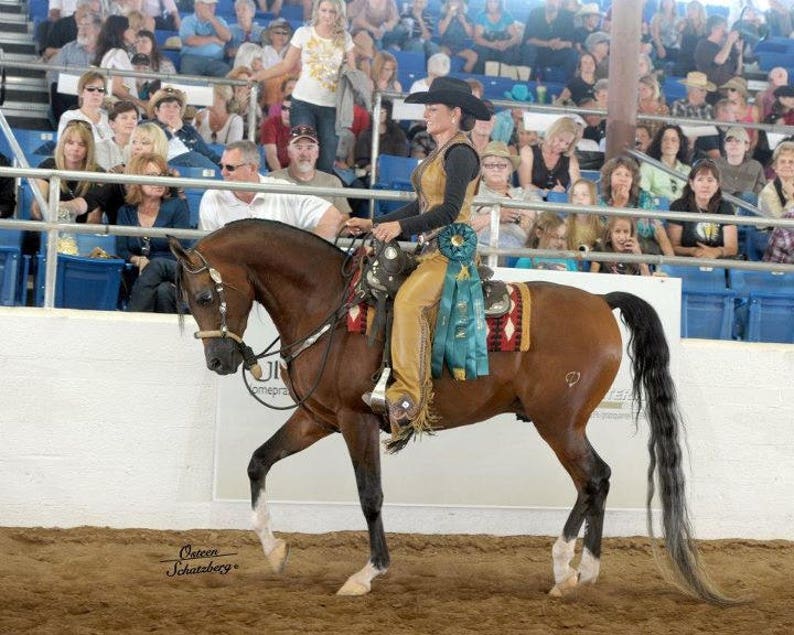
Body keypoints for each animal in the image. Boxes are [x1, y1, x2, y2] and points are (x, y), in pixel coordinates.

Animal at [168, 219, 731, 605]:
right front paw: (273, 550)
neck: (328, 304)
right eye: (188, 300)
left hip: (559, 424)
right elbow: (258, 461)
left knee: (594, 477)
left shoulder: (355, 420)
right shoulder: (319, 418)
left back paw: (569, 568)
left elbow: (370, 496)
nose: (219, 361)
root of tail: (601, 302)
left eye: (204, 295)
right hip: (562, 424)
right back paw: (578, 570)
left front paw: (367, 573)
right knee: (595, 480)